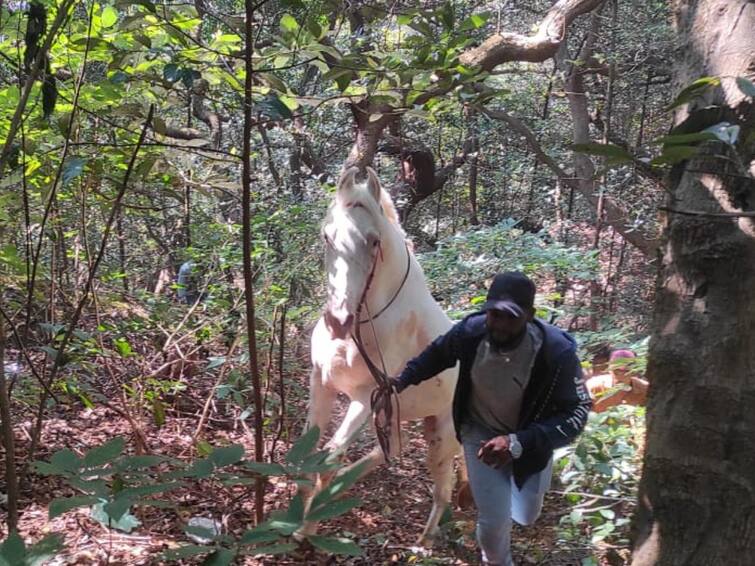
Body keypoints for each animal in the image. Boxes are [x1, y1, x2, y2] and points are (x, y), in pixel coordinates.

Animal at [302, 165, 460, 544]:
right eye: (326, 236)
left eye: (373, 241)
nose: (338, 321)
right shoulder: (321, 382)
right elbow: (308, 449)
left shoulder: (365, 399)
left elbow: (329, 458)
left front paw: (305, 528)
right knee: (390, 451)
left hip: (442, 438)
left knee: (442, 492)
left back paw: (423, 544)